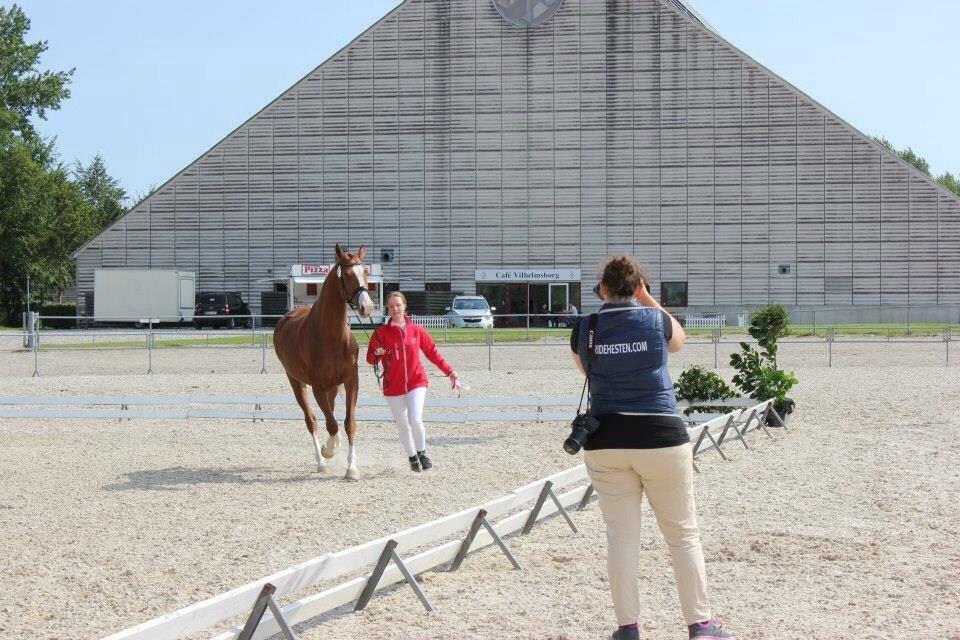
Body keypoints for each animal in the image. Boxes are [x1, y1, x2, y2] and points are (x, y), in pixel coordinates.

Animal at [274, 245, 376, 480]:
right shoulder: (318, 387)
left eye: (365, 272)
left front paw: (351, 468)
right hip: (296, 382)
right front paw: (329, 451)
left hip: (333, 387)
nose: (366, 307)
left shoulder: (350, 381)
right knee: (312, 420)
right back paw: (321, 461)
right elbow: (331, 424)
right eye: (347, 275)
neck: (331, 336)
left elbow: (348, 423)